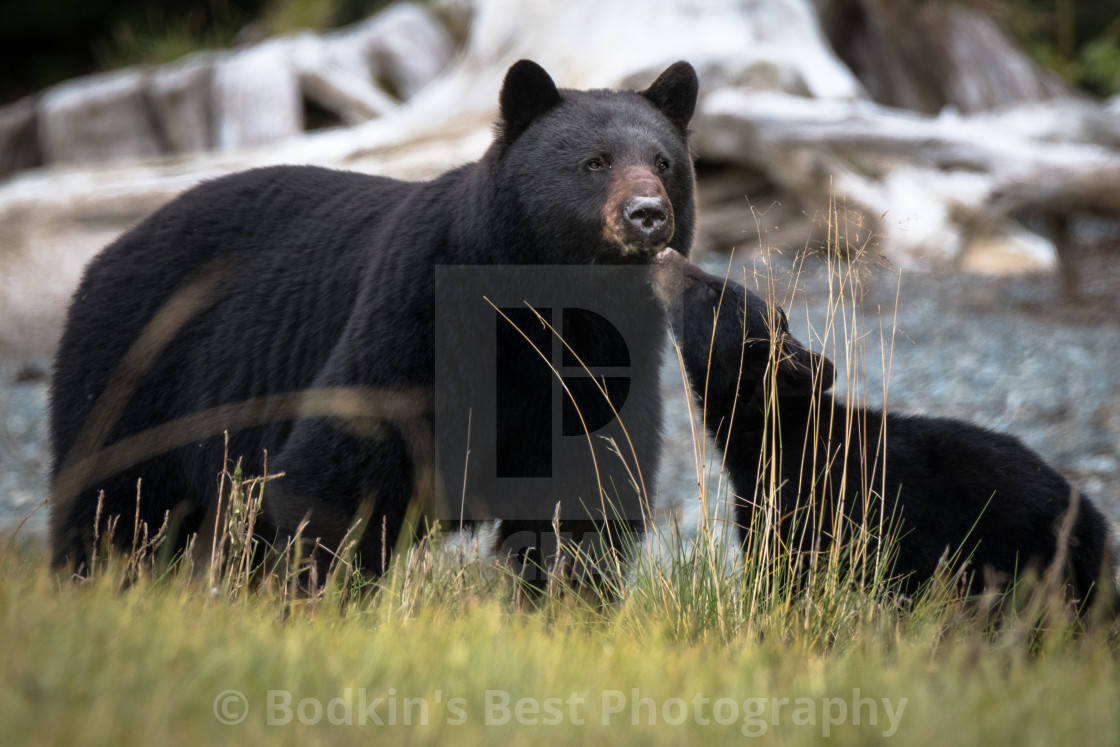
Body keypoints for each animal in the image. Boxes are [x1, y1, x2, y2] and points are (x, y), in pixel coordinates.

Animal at [52, 59, 698, 582]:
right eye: (595, 162)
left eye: (664, 162)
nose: (647, 213)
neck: (545, 309)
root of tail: (110, 250)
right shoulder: (418, 324)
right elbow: (338, 470)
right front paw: (323, 595)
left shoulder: (599, 365)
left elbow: (584, 496)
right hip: (136, 373)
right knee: (117, 505)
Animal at [654, 248, 1115, 604]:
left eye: (712, 291)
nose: (666, 253)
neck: (771, 438)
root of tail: (1097, 525)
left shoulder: (798, 507)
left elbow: (782, 579)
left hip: (1017, 560)